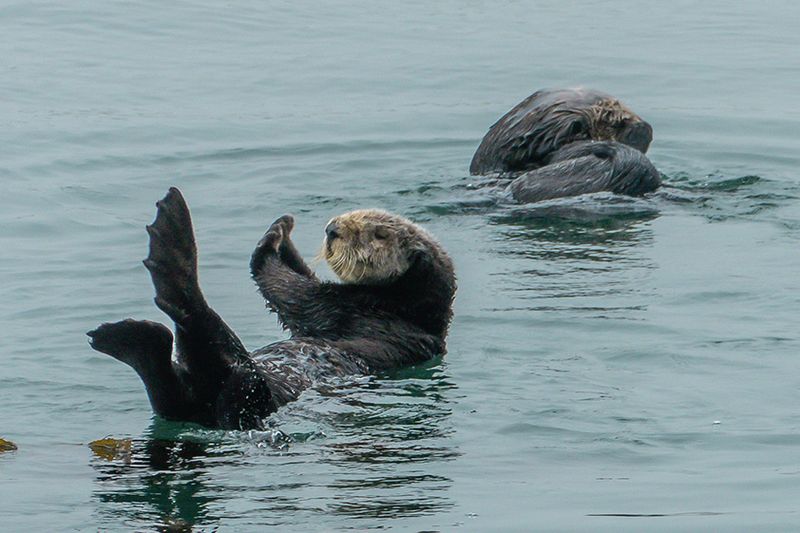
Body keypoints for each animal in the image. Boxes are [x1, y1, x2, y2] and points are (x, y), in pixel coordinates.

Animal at [87, 188, 456, 430]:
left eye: (379, 234)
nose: (332, 229)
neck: (407, 309)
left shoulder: (355, 307)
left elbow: (297, 295)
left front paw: (271, 240)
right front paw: (284, 232)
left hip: (252, 392)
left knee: (202, 328)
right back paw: (135, 342)